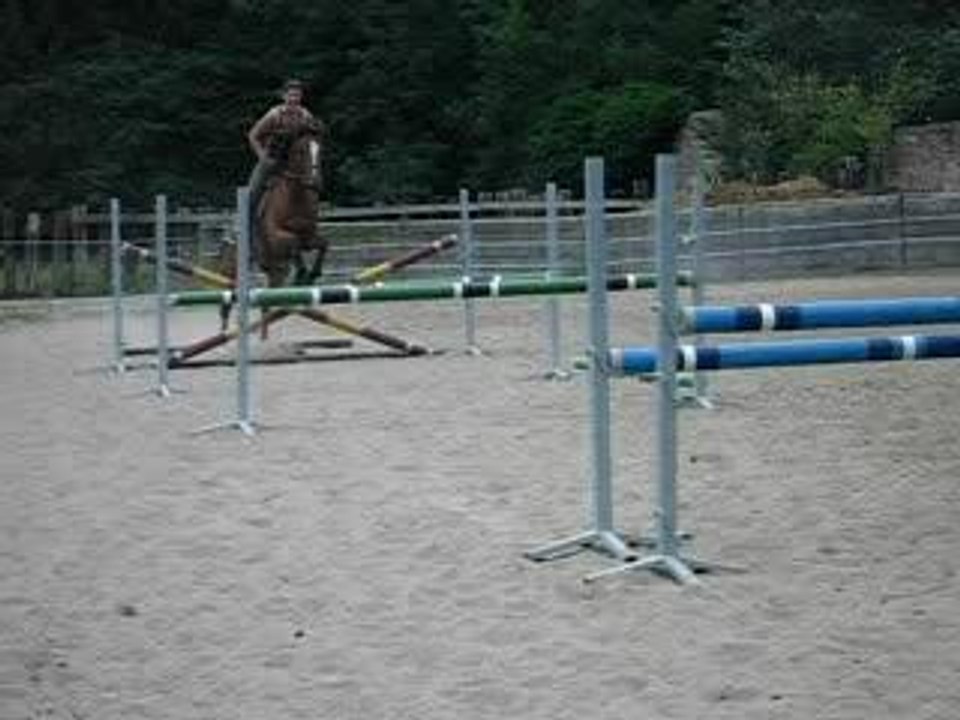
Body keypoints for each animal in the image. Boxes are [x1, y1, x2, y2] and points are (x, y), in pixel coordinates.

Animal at [220, 119, 327, 338]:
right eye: (301, 151)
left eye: (320, 150)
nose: (315, 183)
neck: (295, 198)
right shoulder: (278, 238)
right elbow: (293, 244)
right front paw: (302, 274)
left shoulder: (309, 237)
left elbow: (323, 244)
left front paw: (312, 274)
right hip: (232, 269)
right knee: (227, 296)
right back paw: (225, 330)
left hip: (273, 272)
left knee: (267, 304)